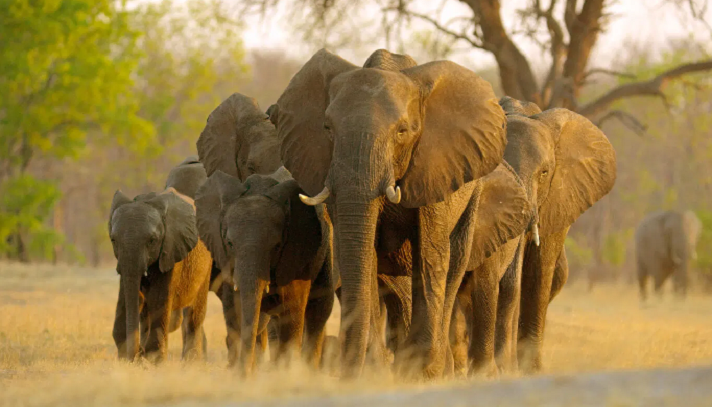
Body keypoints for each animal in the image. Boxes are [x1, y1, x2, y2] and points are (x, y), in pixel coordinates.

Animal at [108, 188, 213, 364]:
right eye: (113, 240)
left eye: (152, 240)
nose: (137, 354)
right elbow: (127, 297)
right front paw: (128, 358)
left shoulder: (171, 250)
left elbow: (158, 298)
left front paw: (152, 360)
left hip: (207, 264)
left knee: (194, 315)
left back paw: (191, 362)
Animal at [195, 167, 334, 376]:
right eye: (230, 243)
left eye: (276, 246)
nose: (244, 375)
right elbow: (237, 310)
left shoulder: (297, 252)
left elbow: (291, 311)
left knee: (319, 310)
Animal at [270, 47, 508, 380]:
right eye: (327, 129)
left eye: (402, 131)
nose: (346, 370)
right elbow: (361, 254)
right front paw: (375, 370)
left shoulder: (434, 167)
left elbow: (430, 254)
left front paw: (421, 371)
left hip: (472, 194)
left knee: (454, 264)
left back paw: (439, 366)